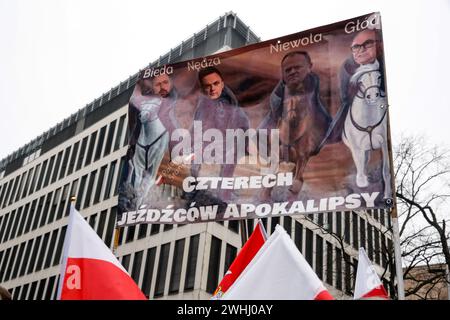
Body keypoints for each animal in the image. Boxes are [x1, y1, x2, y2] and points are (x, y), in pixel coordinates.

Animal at [344, 60, 390, 200]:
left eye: (379, 77)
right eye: (360, 82)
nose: (373, 96)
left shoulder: (383, 143)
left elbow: (386, 170)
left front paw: (387, 196)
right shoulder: (356, 147)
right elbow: (359, 164)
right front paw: (362, 181)